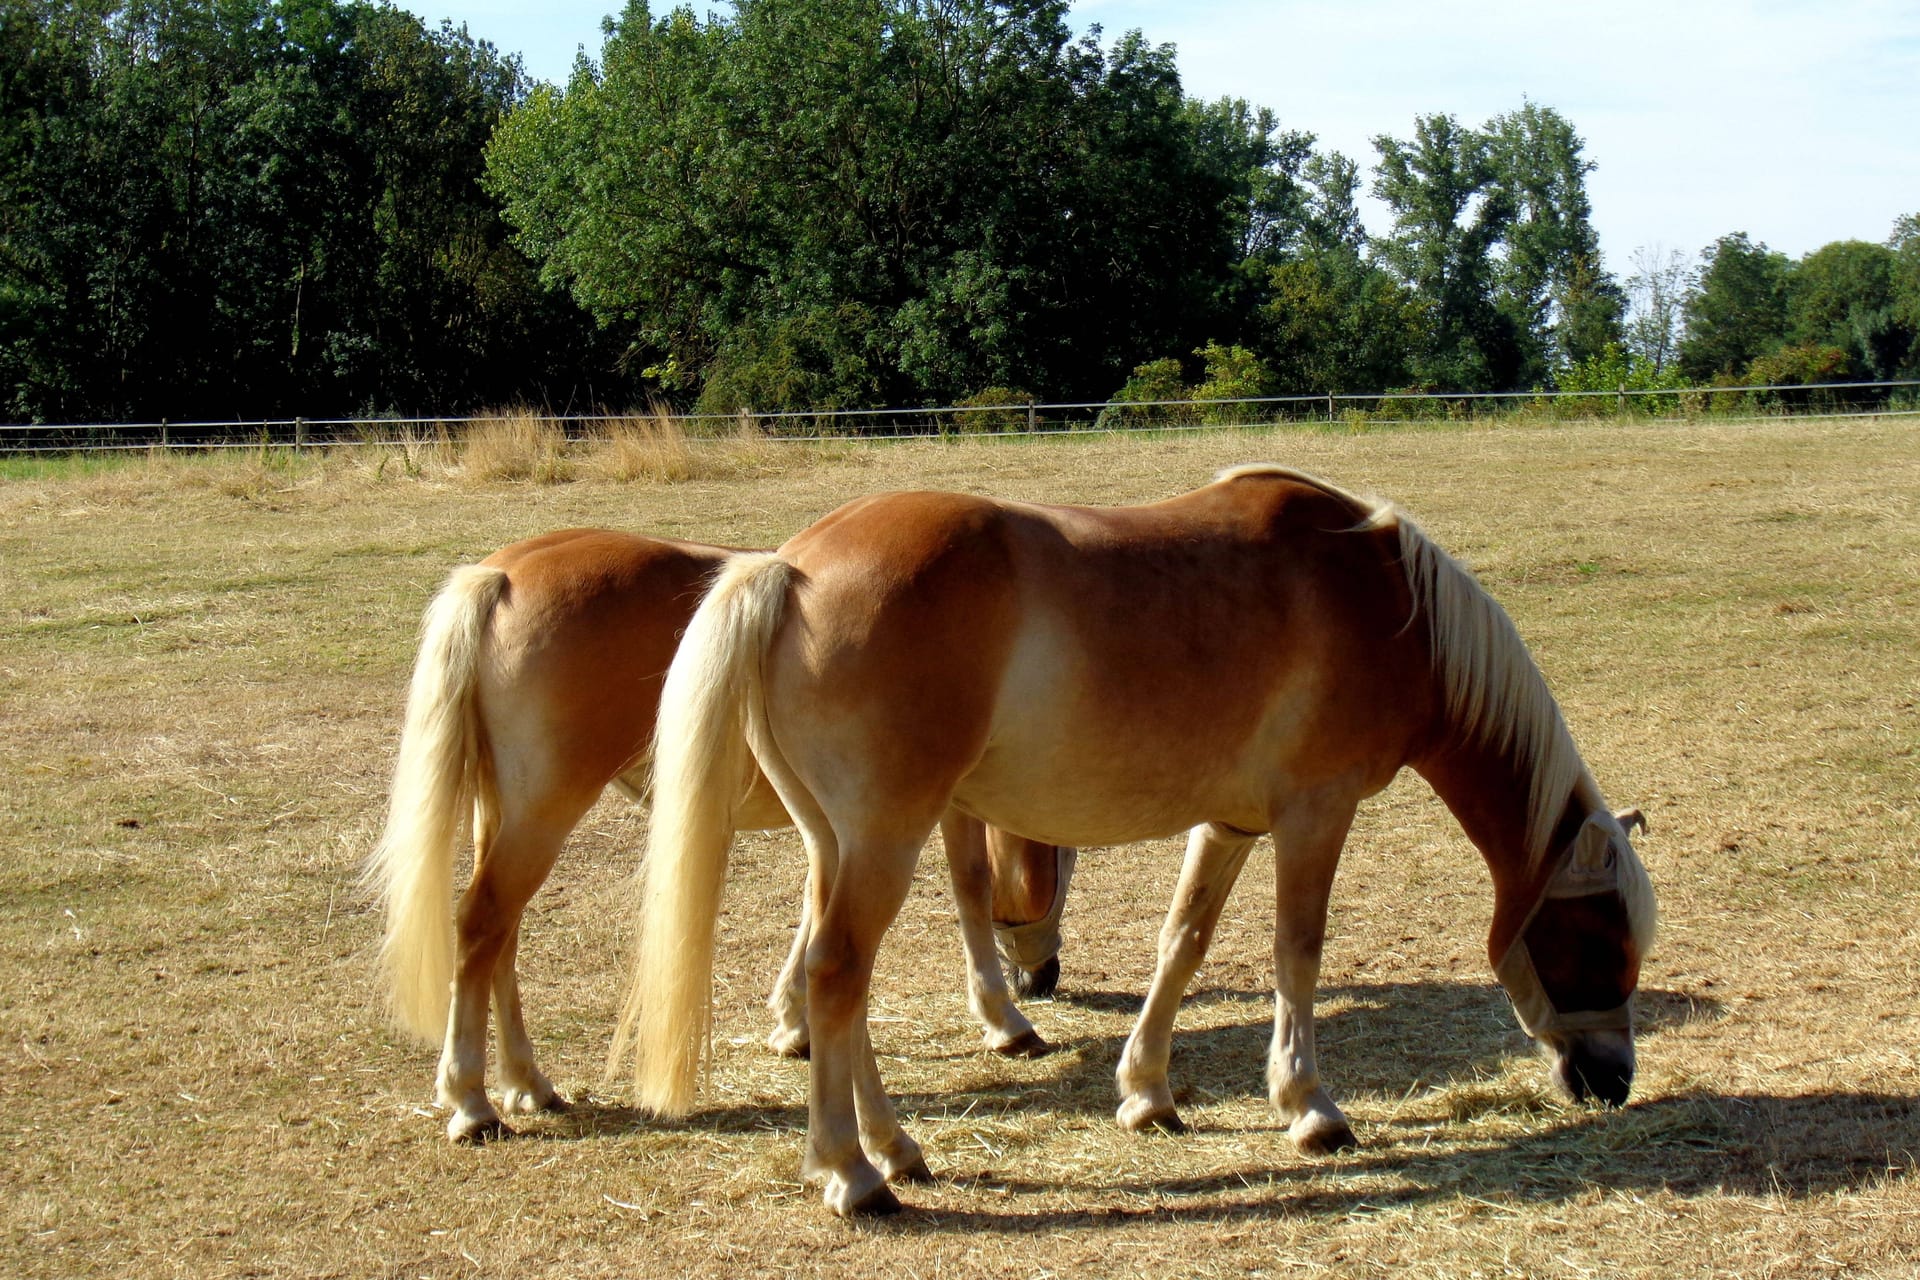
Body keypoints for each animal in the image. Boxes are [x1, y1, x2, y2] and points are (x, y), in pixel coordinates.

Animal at [366, 525, 1075, 1143]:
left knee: (499, 940)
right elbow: (969, 888)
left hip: (503, 813)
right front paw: (1005, 1020)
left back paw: (525, 1083)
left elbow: (812, 908)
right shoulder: (932, 807)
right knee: (482, 924)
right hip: (541, 812)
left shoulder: (835, 824)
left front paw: (795, 1023)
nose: (1044, 977)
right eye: (1062, 875)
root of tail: (504, 574)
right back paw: (472, 1103)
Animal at [610, 466, 1651, 1220]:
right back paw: (852, 1176)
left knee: (839, 986)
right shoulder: (1316, 814)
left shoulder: (1230, 824)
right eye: (1599, 939)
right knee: (834, 976)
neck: (1391, 605)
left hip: (839, 845)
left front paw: (1148, 1093)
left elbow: (1181, 944)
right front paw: (1309, 1111)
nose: (1613, 1080)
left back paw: (897, 1150)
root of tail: (789, 570)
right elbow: (1298, 953)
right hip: (882, 841)